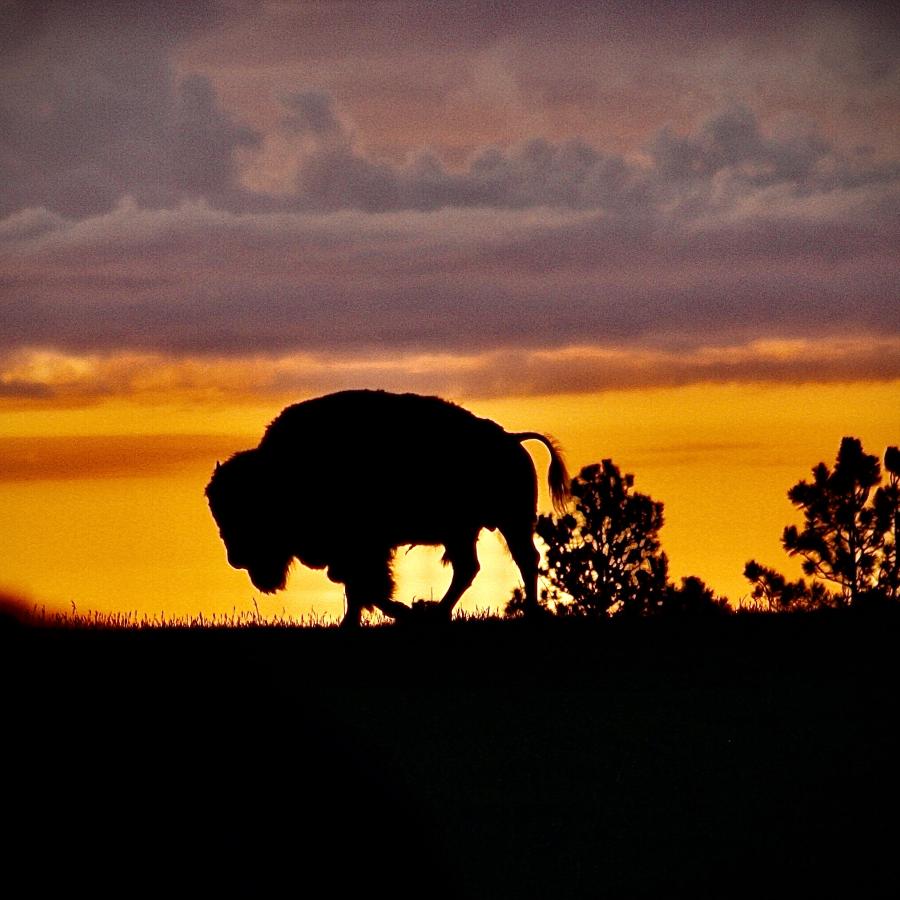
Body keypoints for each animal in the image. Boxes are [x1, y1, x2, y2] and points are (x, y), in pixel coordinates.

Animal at [207, 390, 568, 628]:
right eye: (219, 512)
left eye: (245, 511)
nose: (235, 558)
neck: (277, 473)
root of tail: (511, 438)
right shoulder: (352, 551)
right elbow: (355, 583)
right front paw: (371, 618)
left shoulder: (363, 548)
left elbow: (364, 583)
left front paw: (391, 613)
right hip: (467, 532)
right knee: (473, 567)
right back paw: (440, 613)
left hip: (509, 522)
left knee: (522, 560)